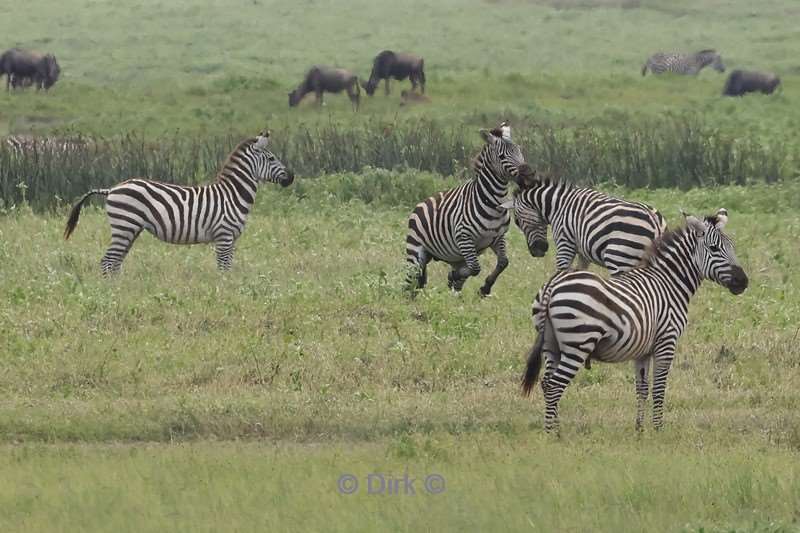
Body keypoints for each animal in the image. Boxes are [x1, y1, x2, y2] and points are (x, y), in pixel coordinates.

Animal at [62, 131, 294, 274]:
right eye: (271, 158)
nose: (291, 177)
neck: (232, 194)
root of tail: (112, 189)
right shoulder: (224, 236)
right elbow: (224, 268)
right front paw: (225, 293)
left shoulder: (231, 239)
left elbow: (228, 267)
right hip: (125, 226)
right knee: (108, 261)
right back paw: (112, 293)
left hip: (130, 230)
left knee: (115, 262)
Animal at [406, 121, 532, 296]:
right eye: (502, 157)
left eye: (520, 151)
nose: (530, 175)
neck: (494, 203)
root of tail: (422, 203)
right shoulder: (464, 237)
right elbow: (475, 268)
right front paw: (454, 277)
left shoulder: (498, 237)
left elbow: (503, 262)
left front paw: (485, 287)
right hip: (415, 253)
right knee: (410, 284)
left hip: (456, 258)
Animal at [500, 178, 668, 274]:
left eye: (517, 222)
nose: (536, 252)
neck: (558, 206)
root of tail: (654, 221)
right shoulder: (583, 253)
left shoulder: (565, 242)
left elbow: (561, 271)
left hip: (619, 258)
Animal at [520, 208, 748, 432]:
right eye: (714, 248)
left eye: (732, 247)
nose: (743, 281)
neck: (669, 283)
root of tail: (553, 285)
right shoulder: (666, 342)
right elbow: (658, 388)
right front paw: (658, 429)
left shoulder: (643, 350)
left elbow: (642, 388)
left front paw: (639, 429)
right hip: (578, 344)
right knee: (555, 385)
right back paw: (552, 434)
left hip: (551, 345)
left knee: (547, 382)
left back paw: (554, 429)